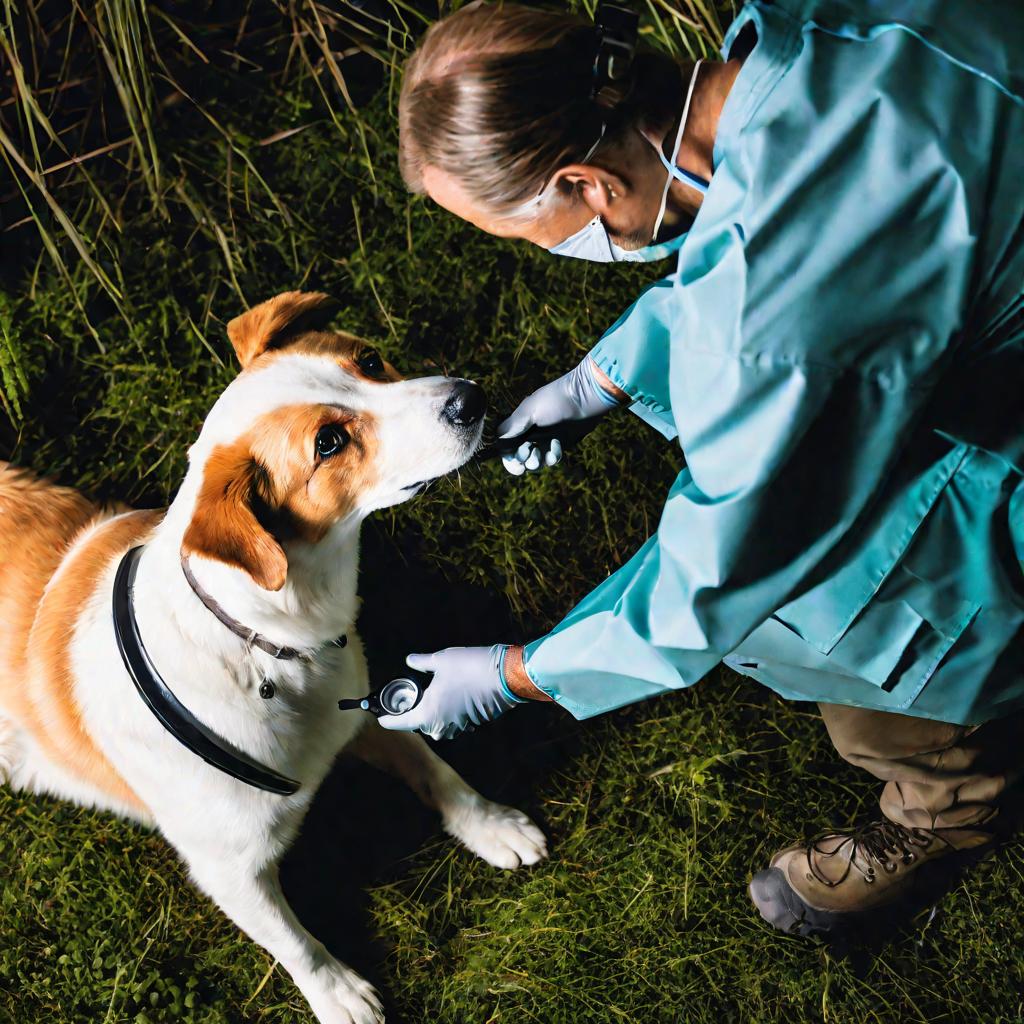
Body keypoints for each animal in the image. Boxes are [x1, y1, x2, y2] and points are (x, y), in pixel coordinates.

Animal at [0, 290, 552, 1024]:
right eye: (329, 443)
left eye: (368, 360)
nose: (470, 396)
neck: (262, 640)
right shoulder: (227, 869)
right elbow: (293, 940)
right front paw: (339, 993)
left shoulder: (360, 711)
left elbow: (435, 766)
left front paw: (490, 825)